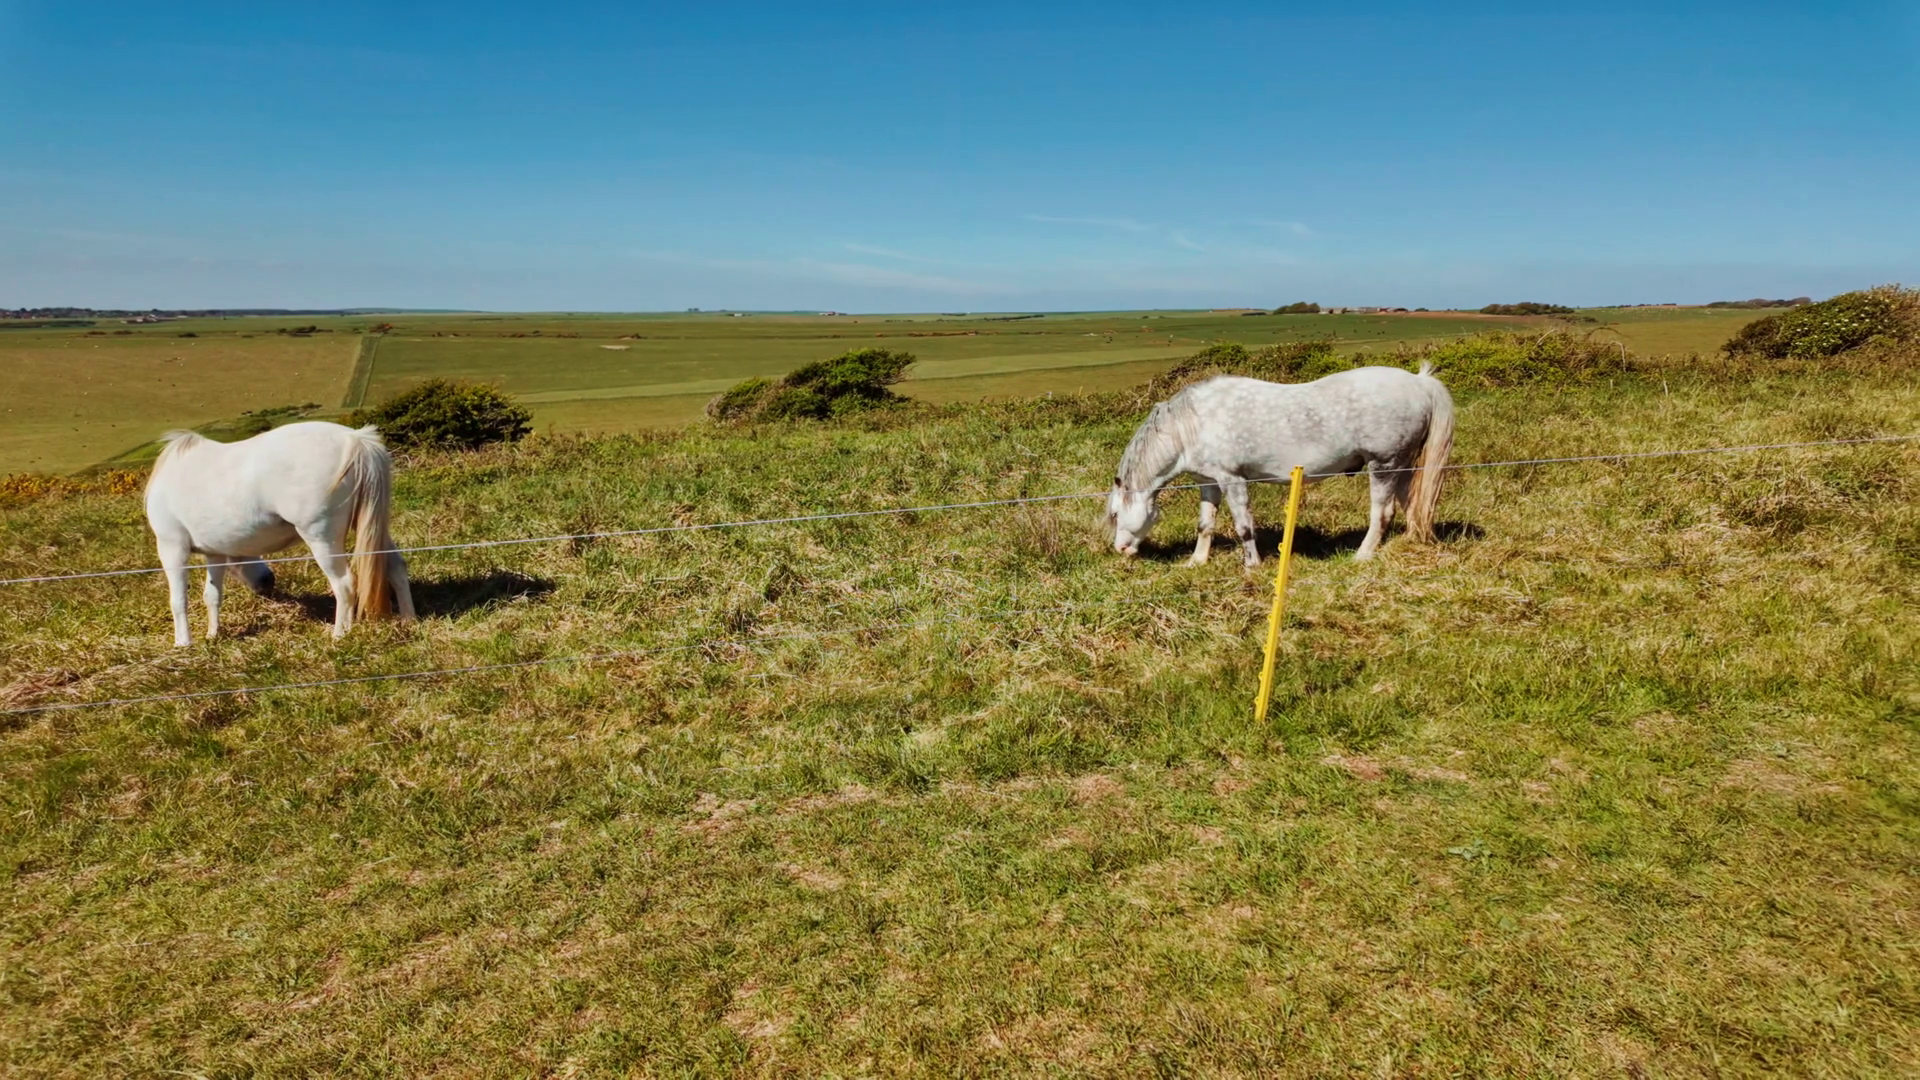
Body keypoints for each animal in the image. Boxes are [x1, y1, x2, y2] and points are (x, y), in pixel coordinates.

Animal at [144, 421, 415, 646]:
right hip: (372, 527)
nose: (267, 581)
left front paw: (183, 644)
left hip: (321, 538)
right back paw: (408, 619)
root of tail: (355, 440)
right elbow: (212, 595)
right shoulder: (215, 553)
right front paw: (213, 635)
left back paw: (339, 635)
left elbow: (178, 600)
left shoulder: (172, 548)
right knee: (395, 566)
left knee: (345, 584)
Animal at [1107, 363, 1454, 566]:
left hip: (1384, 465)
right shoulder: (1209, 483)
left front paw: (1252, 566)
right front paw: (1197, 561)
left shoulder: (1233, 479)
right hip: (1403, 466)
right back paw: (1410, 542)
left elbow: (1244, 526)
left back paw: (1362, 555)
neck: (1194, 424)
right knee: (1412, 503)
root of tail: (1420, 383)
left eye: (1115, 515)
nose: (1121, 549)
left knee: (1382, 513)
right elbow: (1205, 524)